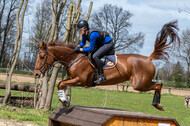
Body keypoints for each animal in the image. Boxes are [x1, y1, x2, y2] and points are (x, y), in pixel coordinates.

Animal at [33, 20, 180, 110]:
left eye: (42, 57)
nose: (36, 74)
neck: (75, 58)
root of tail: (148, 58)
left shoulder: (81, 80)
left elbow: (61, 83)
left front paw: (64, 101)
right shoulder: (75, 79)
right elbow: (61, 84)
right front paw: (65, 101)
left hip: (139, 84)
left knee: (159, 84)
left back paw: (157, 104)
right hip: (142, 82)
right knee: (158, 84)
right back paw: (157, 104)